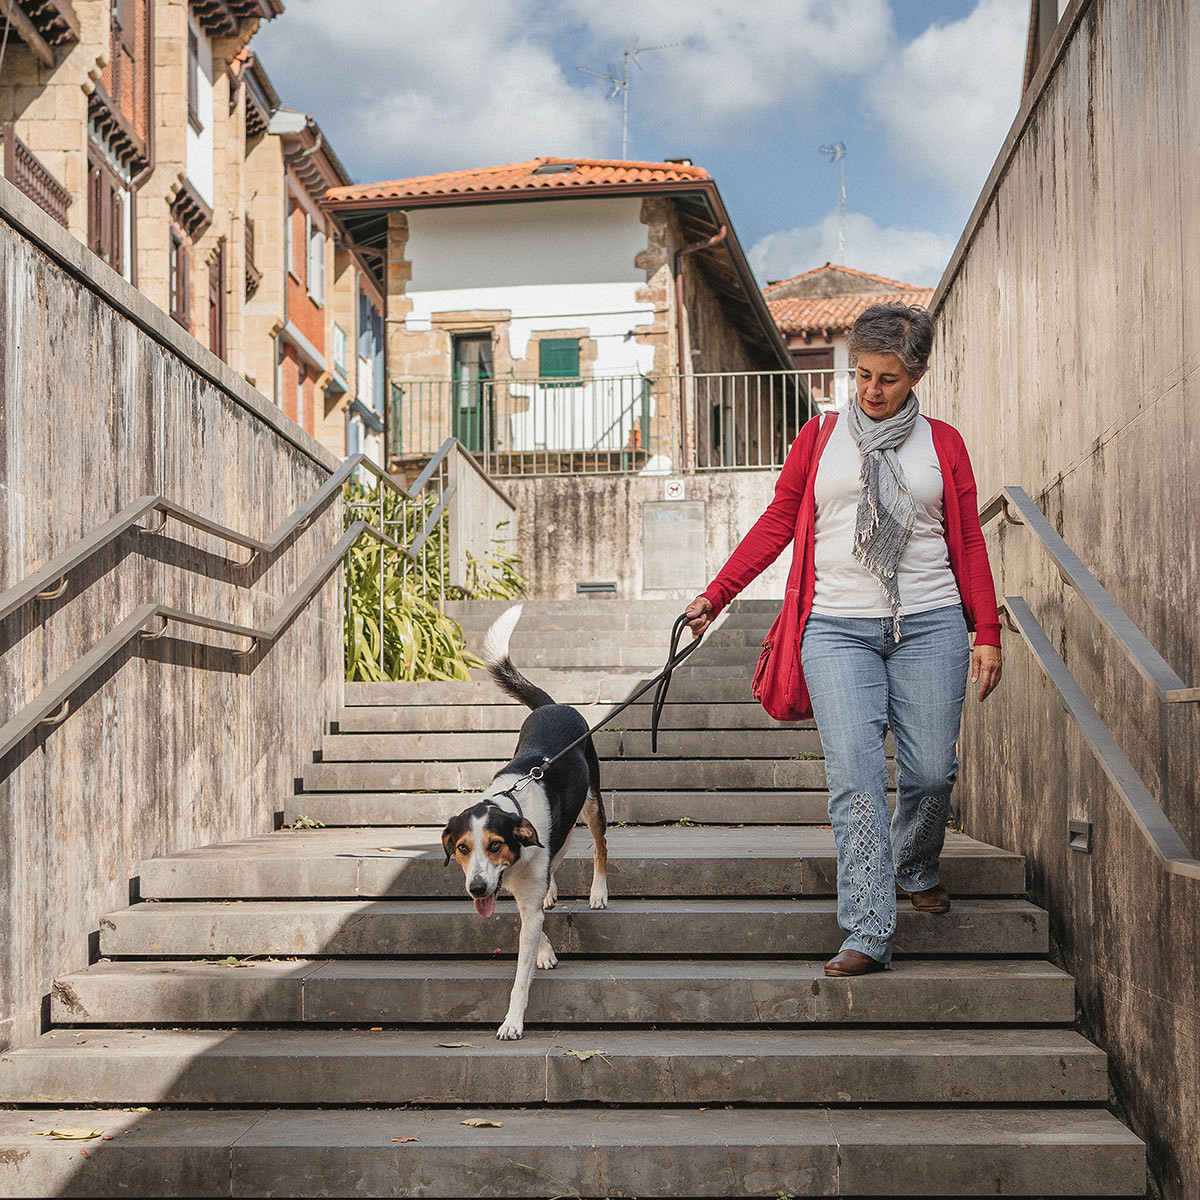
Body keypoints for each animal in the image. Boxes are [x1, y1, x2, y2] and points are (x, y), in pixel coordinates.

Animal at [439, 604, 609, 1036]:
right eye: (461, 848)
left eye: (495, 844)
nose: (477, 889)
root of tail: (555, 704)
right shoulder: (515, 887)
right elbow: (535, 918)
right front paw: (545, 950)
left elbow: (520, 975)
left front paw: (512, 1021)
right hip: (561, 830)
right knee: (558, 857)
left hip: (592, 801)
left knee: (599, 845)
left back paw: (598, 892)